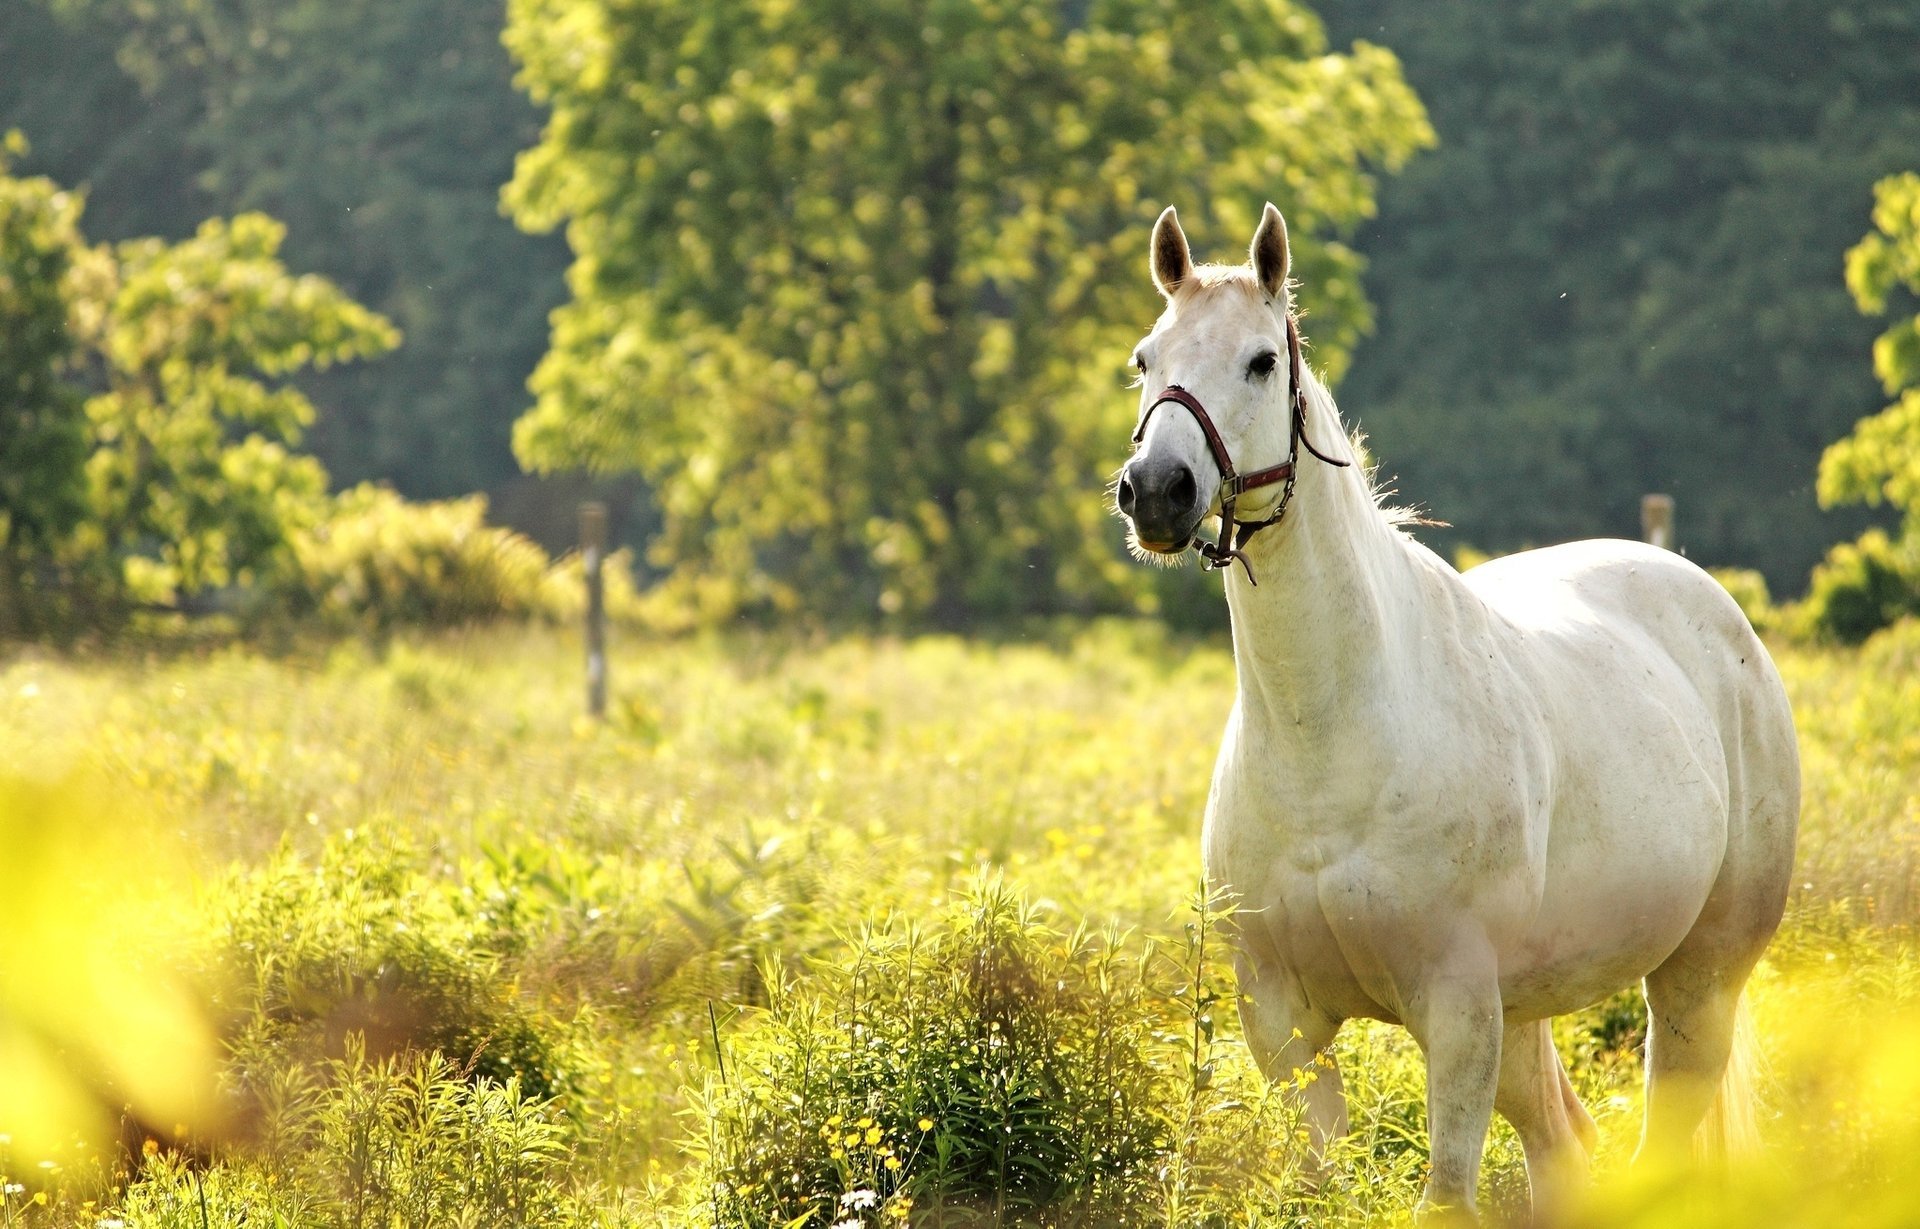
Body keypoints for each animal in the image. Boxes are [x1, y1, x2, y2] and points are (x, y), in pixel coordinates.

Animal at [1113, 201, 1797, 1221]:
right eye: (1146, 358)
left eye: (1261, 361)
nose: (1157, 491)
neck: (1332, 741)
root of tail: (1714, 609)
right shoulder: (1280, 1020)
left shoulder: (1459, 1005)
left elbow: (1445, 1197)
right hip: (1531, 1014)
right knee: (1564, 1148)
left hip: (1696, 981)